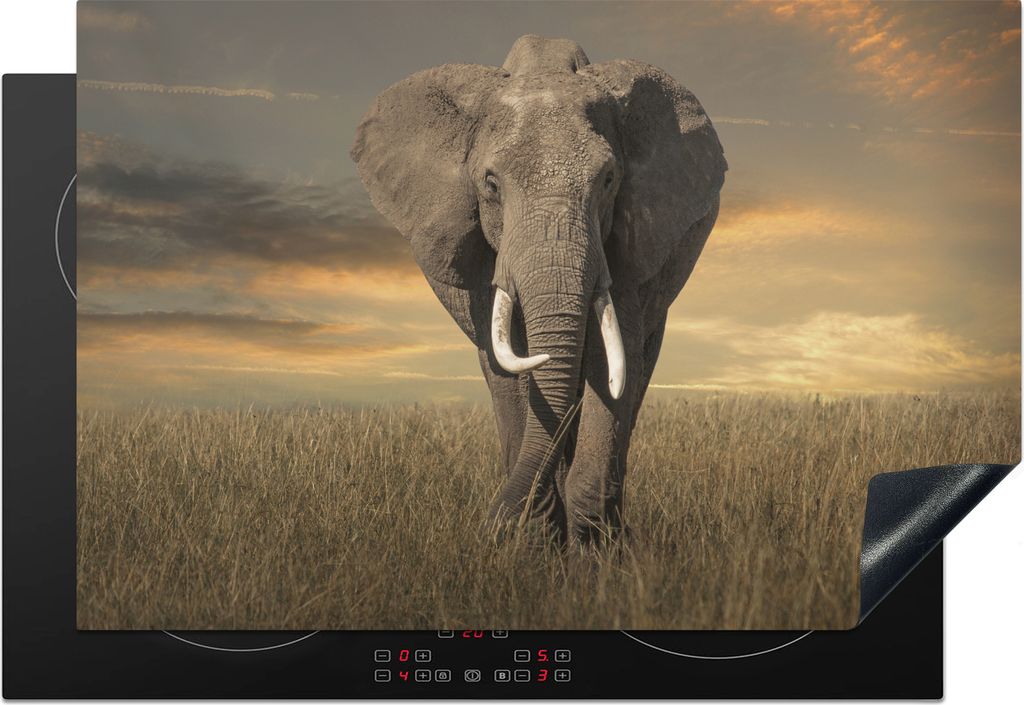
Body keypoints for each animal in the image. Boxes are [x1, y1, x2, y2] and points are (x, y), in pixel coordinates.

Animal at [351, 35, 726, 545]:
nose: (489, 528)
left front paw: (595, 547)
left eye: (609, 180)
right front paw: (533, 541)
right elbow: (510, 358)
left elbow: (611, 356)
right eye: (491, 184)